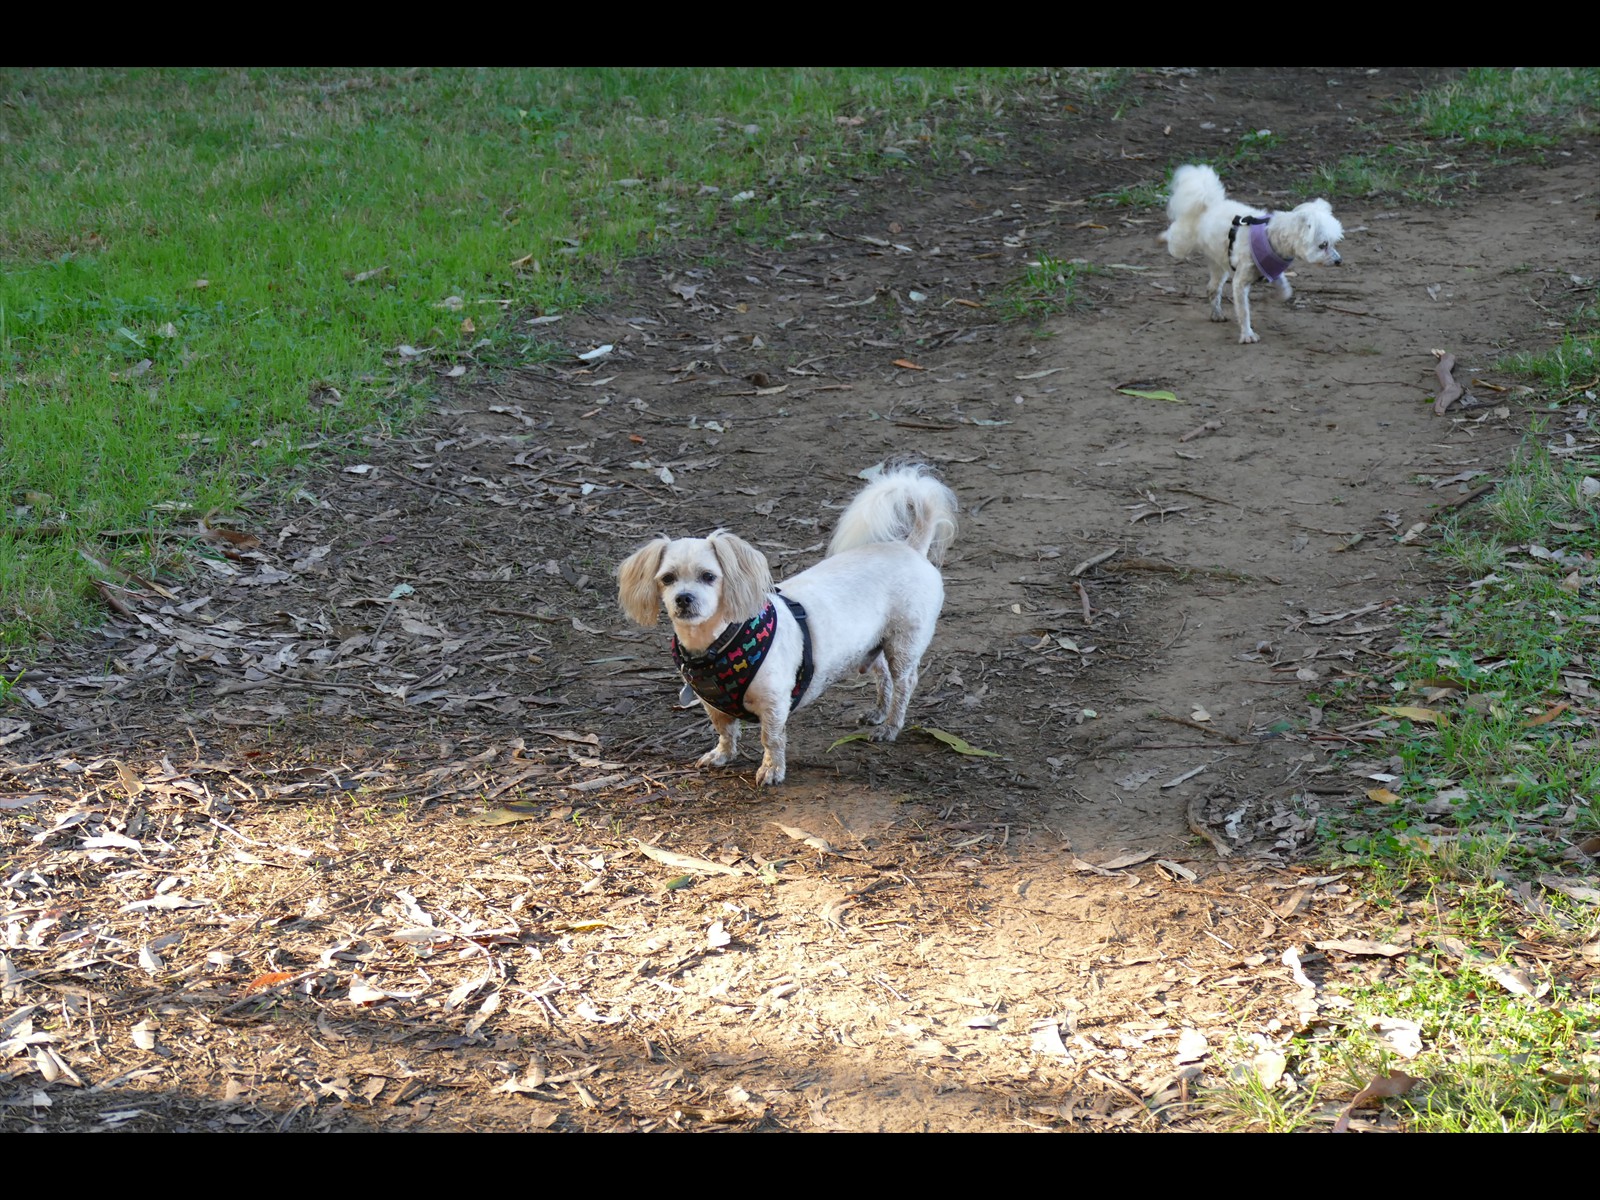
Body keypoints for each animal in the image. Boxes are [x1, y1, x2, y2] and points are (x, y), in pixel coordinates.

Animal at [617, 464, 953, 790]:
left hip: (903, 645)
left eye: (709, 576)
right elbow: (725, 731)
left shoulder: (775, 703)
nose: (684, 598)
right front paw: (722, 754)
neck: (717, 644)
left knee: (904, 684)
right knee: (882, 676)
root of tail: (911, 548)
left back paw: (891, 726)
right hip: (873, 644)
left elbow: (772, 739)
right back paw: (878, 714)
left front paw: (772, 770)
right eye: (667, 578)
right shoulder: (713, 705)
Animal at [1158, 162, 1344, 345]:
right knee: (1173, 237)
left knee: (1212, 288)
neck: (1272, 236)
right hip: (1182, 243)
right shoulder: (1240, 282)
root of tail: (1208, 204)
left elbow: (1286, 291)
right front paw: (1247, 334)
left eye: (1334, 242)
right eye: (1323, 245)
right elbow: (1244, 311)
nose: (1339, 261)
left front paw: (1268, 298)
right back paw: (1161, 237)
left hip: (1218, 263)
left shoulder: (1272, 271)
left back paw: (1216, 313)